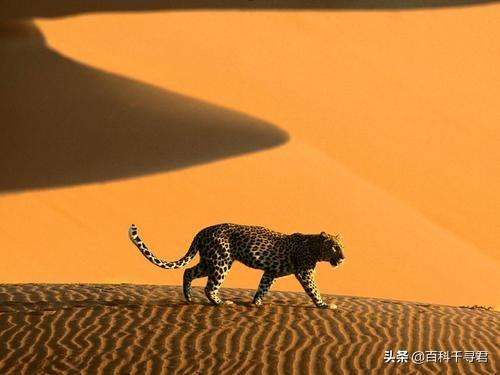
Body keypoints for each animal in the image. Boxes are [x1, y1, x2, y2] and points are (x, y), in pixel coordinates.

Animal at [128, 223, 344, 308]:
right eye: (335, 247)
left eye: (342, 247)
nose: (343, 258)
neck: (315, 248)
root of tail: (202, 231)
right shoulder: (305, 272)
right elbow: (313, 290)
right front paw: (324, 305)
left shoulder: (270, 272)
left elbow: (263, 287)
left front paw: (256, 303)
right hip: (221, 262)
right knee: (209, 287)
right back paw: (221, 303)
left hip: (209, 261)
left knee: (188, 272)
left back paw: (188, 298)